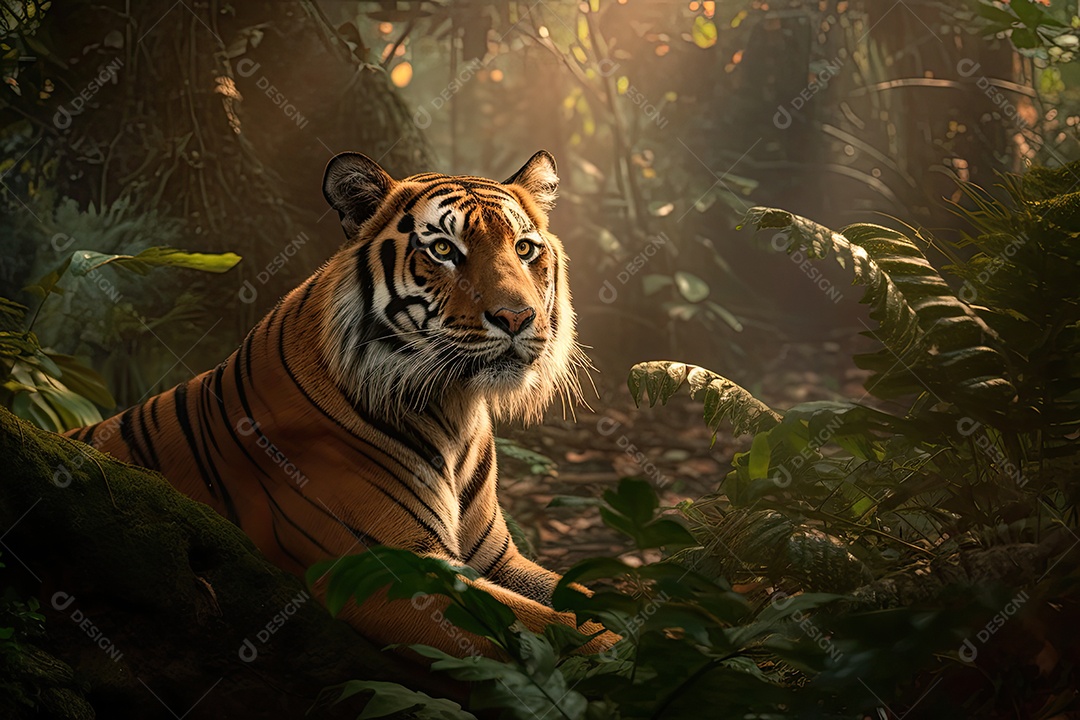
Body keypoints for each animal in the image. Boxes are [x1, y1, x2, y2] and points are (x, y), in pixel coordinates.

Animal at [64, 150, 617, 659]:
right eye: (443, 249)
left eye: (524, 248)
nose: (517, 317)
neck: (454, 406)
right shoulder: (390, 570)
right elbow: (562, 627)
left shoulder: (499, 561)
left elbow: (583, 598)